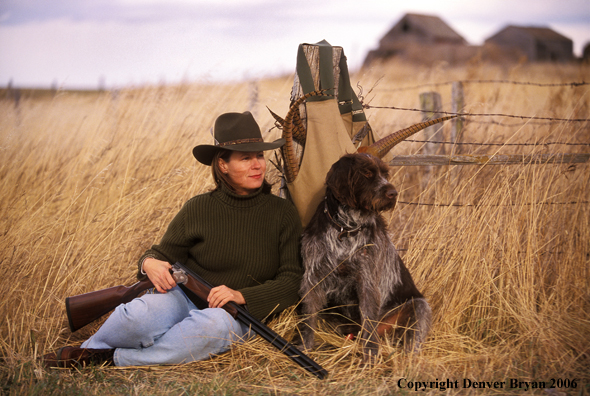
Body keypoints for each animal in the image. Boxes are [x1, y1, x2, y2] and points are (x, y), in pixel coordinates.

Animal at [302, 154, 432, 362]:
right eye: (367, 173)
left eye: (385, 174)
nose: (393, 193)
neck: (345, 229)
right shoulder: (313, 278)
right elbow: (308, 318)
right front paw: (303, 348)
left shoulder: (367, 280)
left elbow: (369, 318)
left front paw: (370, 356)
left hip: (418, 307)